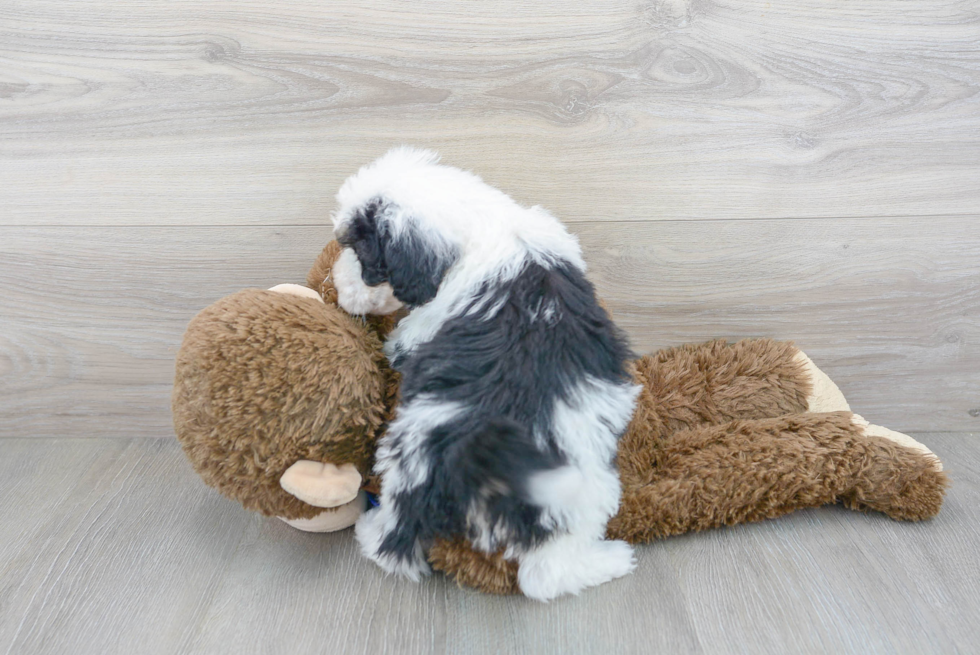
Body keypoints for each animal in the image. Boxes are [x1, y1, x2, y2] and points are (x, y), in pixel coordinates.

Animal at [334, 150, 640, 604]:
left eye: (363, 253)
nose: (338, 288)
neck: (483, 223)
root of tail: (479, 460)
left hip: (410, 460)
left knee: (399, 537)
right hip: (582, 486)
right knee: (546, 573)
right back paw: (610, 561)